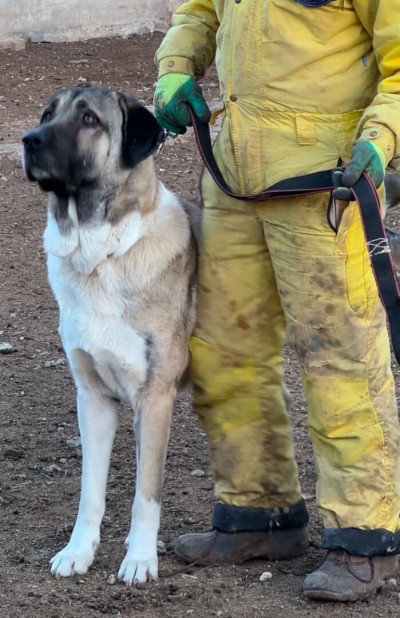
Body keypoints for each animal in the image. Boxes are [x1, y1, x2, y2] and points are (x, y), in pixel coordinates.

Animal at [21, 88, 199, 584]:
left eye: (89, 119)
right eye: (47, 113)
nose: (28, 140)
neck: (102, 254)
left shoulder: (154, 400)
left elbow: (145, 496)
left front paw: (139, 559)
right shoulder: (93, 398)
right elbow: (90, 492)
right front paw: (77, 552)